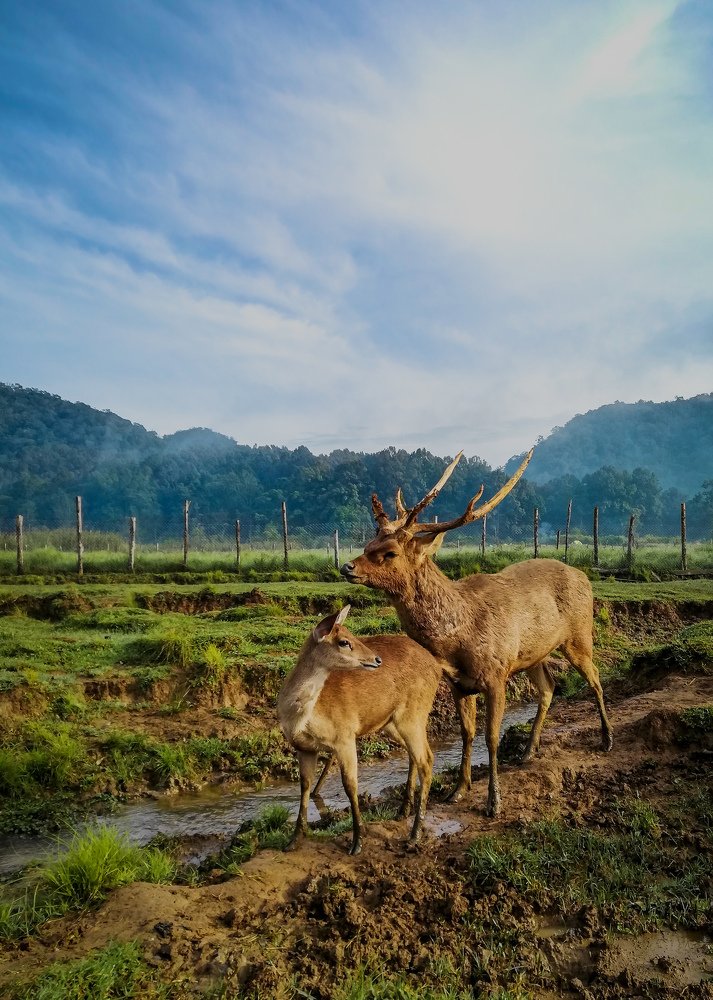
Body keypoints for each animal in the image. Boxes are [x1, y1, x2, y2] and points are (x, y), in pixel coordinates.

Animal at [277, 605, 443, 855]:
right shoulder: (304, 748)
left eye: (352, 635)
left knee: (427, 759)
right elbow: (304, 786)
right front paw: (293, 841)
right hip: (392, 725)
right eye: (344, 641)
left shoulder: (345, 739)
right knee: (415, 756)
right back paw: (402, 811)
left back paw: (414, 836)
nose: (377, 659)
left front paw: (357, 842)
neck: (303, 716)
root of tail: (435, 664)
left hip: (412, 718)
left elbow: (350, 785)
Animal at [341, 450, 613, 817]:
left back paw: (606, 739)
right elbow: (467, 734)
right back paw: (528, 751)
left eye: (390, 552)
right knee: (548, 688)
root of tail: (584, 575)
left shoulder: (496, 675)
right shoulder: (459, 683)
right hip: (532, 654)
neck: (457, 640)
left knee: (595, 677)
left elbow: (491, 737)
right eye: (368, 542)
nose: (347, 566)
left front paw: (493, 802)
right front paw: (458, 789)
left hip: (579, 634)